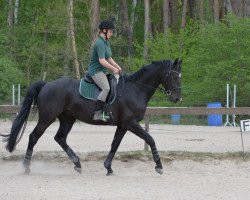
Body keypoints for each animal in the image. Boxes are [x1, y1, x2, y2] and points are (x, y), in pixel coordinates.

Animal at [0, 57, 182, 174]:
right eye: (173, 75)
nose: (177, 98)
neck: (135, 89)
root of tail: (46, 84)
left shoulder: (123, 125)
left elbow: (115, 144)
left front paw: (108, 167)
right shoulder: (131, 123)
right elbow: (150, 139)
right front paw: (159, 166)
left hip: (68, 118)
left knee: (60, 138)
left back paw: (77, 164)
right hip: (47, 118)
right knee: (33, 137)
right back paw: (26, 167)